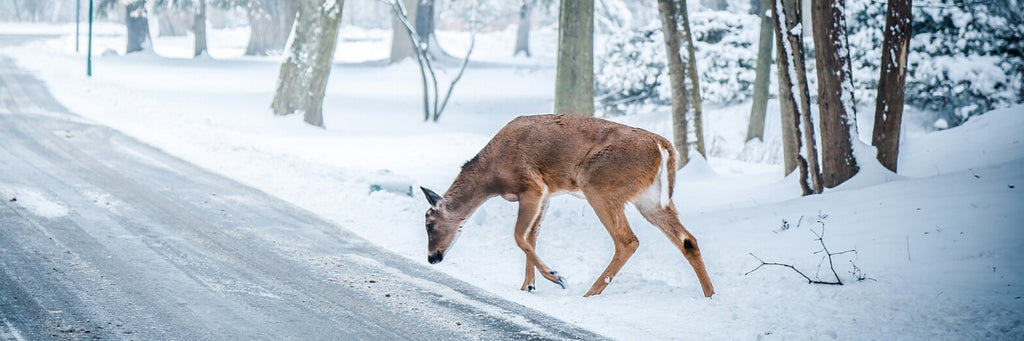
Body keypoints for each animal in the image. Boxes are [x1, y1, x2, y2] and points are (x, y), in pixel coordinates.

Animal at [419, 112, 716, 296]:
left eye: (429, 223)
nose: (432, 258)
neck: (492, 176)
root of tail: (662, 145)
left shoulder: (532, 185)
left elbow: (519, 236)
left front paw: (555, 276)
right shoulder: (547, 194)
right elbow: (532, 237)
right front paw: (528, 286)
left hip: (599, 185)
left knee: (627, 240)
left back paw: (589, 293)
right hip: (649, 198)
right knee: (687, 240)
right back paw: (710, 295)